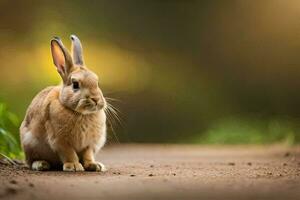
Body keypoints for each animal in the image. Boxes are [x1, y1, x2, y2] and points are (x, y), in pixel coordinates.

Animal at [19, 34, 106, 172]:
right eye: (75, 84)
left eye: (97, 82)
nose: (96, 99)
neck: (81, 114)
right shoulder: (61, 141)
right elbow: (69, 153)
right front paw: (74, 166)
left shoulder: (89, 144)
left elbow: (88, 154)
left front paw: (94, 165)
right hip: (29, 143)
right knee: (30, 161)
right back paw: (41, 164)